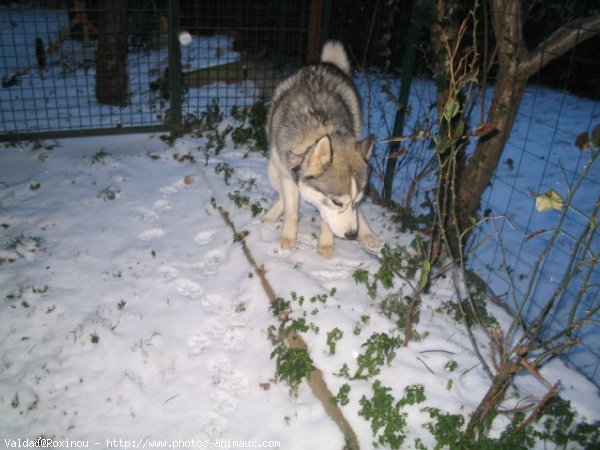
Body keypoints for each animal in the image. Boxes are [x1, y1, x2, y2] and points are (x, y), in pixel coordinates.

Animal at [264, 40, 378, 258]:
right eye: (338, 203)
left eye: (355, 201)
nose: (352, 235)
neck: (320, 130)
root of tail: (326, 64)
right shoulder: (287, 175)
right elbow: (291, 210)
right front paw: (288, 238)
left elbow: (328, 219)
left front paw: (326, 244)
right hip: (273, 170)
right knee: (283, 196)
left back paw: (367, 233)